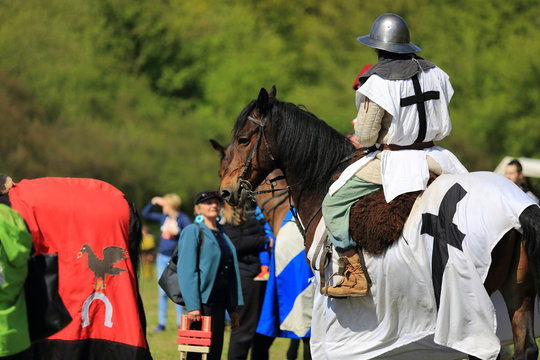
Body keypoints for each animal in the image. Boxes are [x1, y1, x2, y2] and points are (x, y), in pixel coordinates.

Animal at [217, 87, 540, 360]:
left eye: (244, 140)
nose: (226, 191)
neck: (322, 181)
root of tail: (517, 208)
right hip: (518, 293)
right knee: (524, 348)